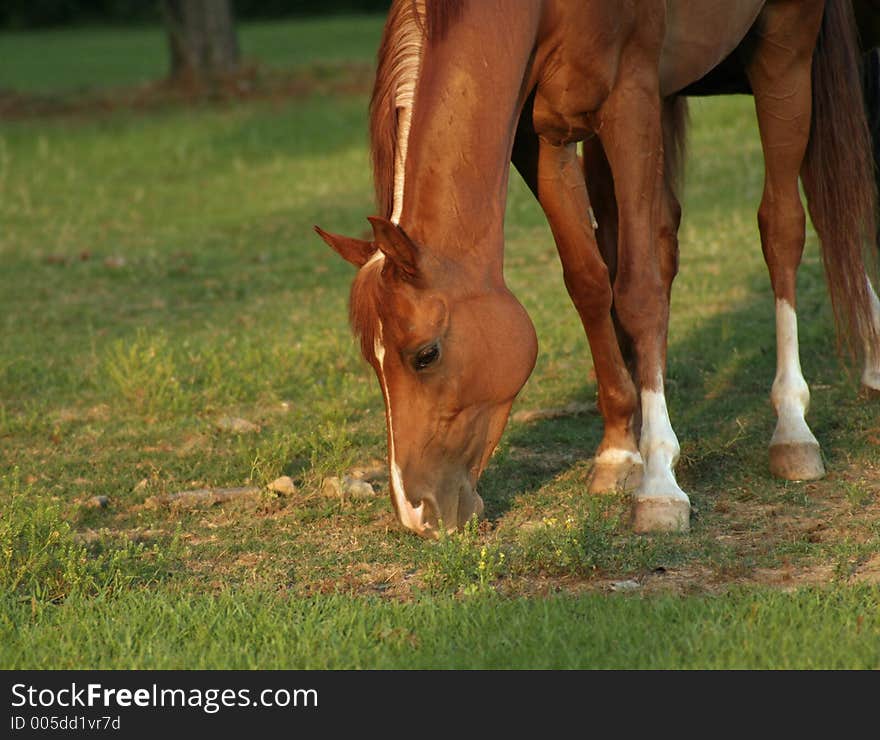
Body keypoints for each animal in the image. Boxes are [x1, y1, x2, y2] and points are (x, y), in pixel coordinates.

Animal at [312, 2, 876, 540]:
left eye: (425, 355)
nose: (417, 513)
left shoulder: (630, 99)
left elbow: (640, 292)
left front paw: (659, 486)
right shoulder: (541, 137)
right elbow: (589, 281)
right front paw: (620, 451)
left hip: (784, 49)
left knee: (785, 225)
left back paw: (795, 428)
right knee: (664, 234)